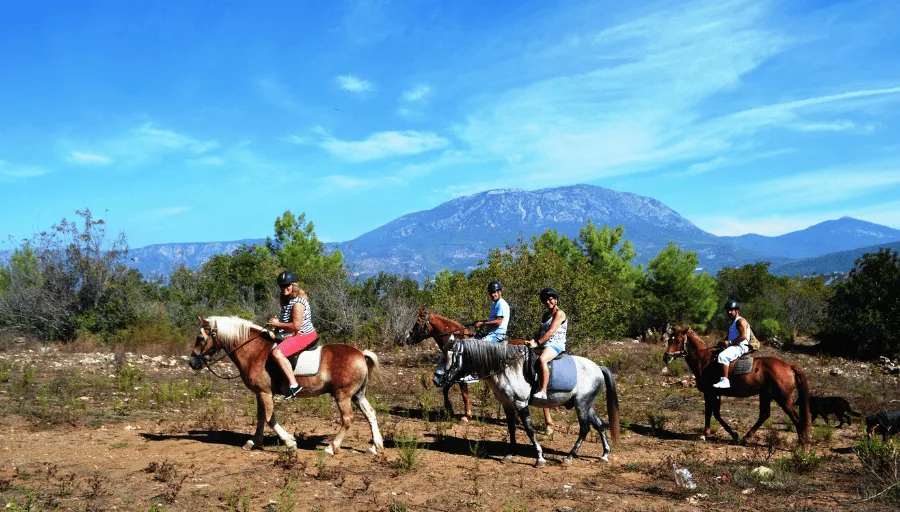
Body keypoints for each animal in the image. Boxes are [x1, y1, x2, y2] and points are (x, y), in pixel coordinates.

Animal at [188, 316, 384, 455]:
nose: (191, 363)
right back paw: (376, 447)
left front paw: (289, 442)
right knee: (370, 414)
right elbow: (261, 417)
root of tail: (361, 354)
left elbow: (269, 418)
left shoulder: (265, 392)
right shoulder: (260, 393)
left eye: (200, 338)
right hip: (357, 395)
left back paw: (332, 447)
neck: (255, 352)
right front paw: (253, 442)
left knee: (348, 419)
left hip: (343, 395)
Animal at [402, 308, 555, 431]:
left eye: (417, 323)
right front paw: (449, 409)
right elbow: (446, 389)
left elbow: (464, 395)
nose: (407, 339)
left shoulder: (461, 377)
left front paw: (466, 416)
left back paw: (548, 426)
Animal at [434, 339, 619, 467]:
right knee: (600, 425)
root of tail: (598, 368)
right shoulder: (507, 404)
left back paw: (569, 457)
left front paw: (540, 458)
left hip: (581, 405)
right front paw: (510, 454)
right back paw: (604, 455)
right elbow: (511, 428)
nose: (436, 379)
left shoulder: (520, 403)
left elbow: (529, 430)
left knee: (585, 429)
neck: (506, 367)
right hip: (586, 405)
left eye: (446, 357)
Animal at [663, 326, 810, 445]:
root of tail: (788, 366)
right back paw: (746, 438)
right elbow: (716, 413)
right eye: (669, 340)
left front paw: (705, 435)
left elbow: (710, 413)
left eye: (677, 341)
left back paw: (802, 443)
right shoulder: (716, 393)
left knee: (795, 418)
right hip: (766, 395)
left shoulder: (710, 393)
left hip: (782, 398)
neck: (705, 361)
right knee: (764, 415)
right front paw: (734, 435)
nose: (666, 358)